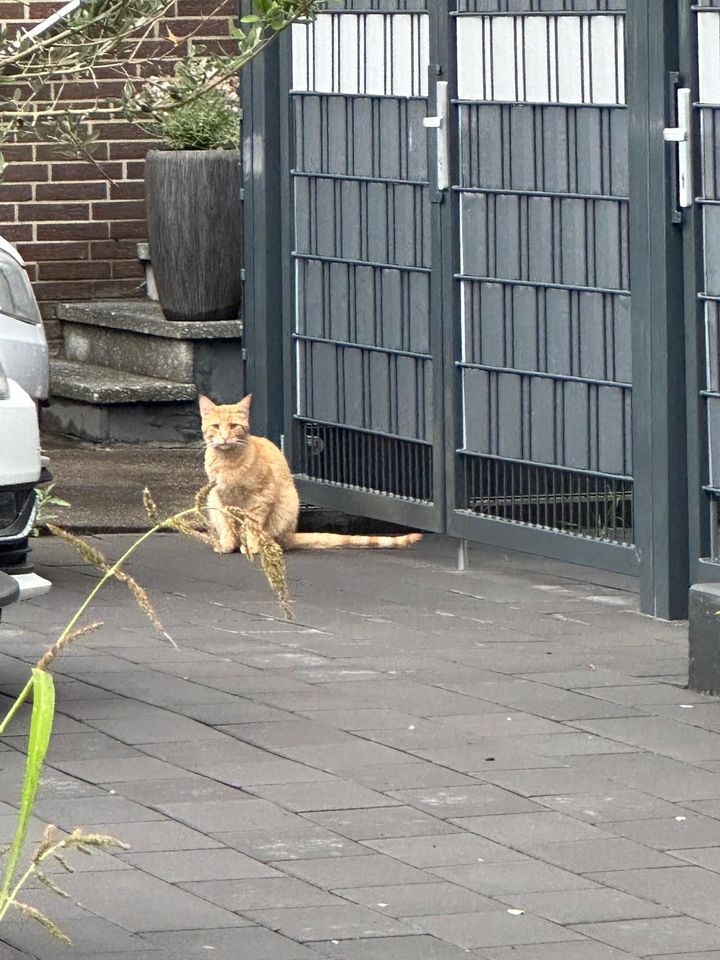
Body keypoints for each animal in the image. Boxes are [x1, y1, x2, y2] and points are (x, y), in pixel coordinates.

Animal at [200, 392, 422, 552]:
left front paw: (251, 546)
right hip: (210, 500)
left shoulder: (260, 498)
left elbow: (252, 525)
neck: (228, 462)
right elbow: (229, 525)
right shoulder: (220, 498)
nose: (225, 437)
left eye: (234, 426)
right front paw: (228, 545)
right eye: (216, 426)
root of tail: (290, 534)